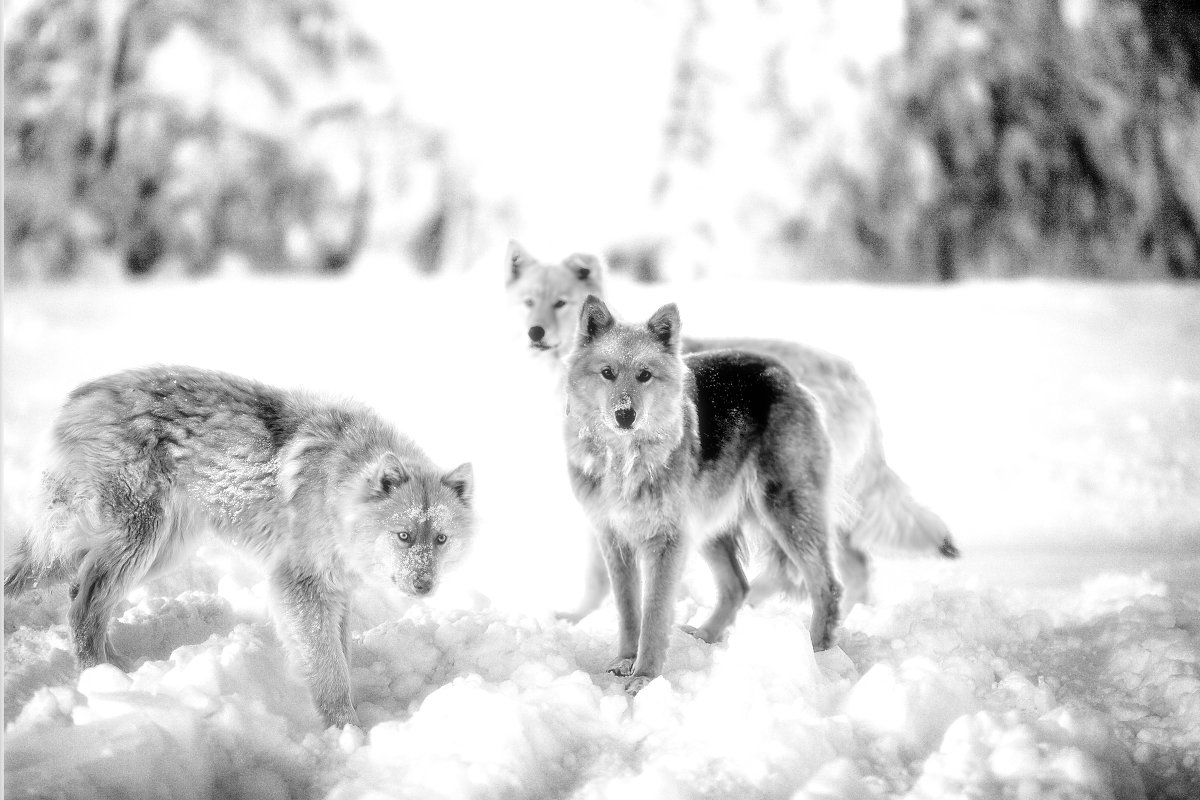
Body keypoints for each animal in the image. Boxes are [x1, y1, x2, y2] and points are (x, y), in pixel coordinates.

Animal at [504, 241, 955, 623]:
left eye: (560, 303)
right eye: (527, 302)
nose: (534, 332)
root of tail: (852, 377)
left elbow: (610, 573)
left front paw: (585, 617)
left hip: (778, 498)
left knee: (798, 569)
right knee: (849, 565)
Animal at [564, 297, 840, 690]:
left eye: (644, 375)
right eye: (607, 373)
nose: (625, 415)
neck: (625, 458)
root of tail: (782, 373)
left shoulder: (666, 541)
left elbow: (654, 613)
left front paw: (644, 677)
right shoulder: (615, 539)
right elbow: (628, 610)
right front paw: (625, 661)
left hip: (785, 512)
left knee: (827, 585)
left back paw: (817, 653)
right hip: (709, 524)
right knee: (738, 586)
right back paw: (706, 637)